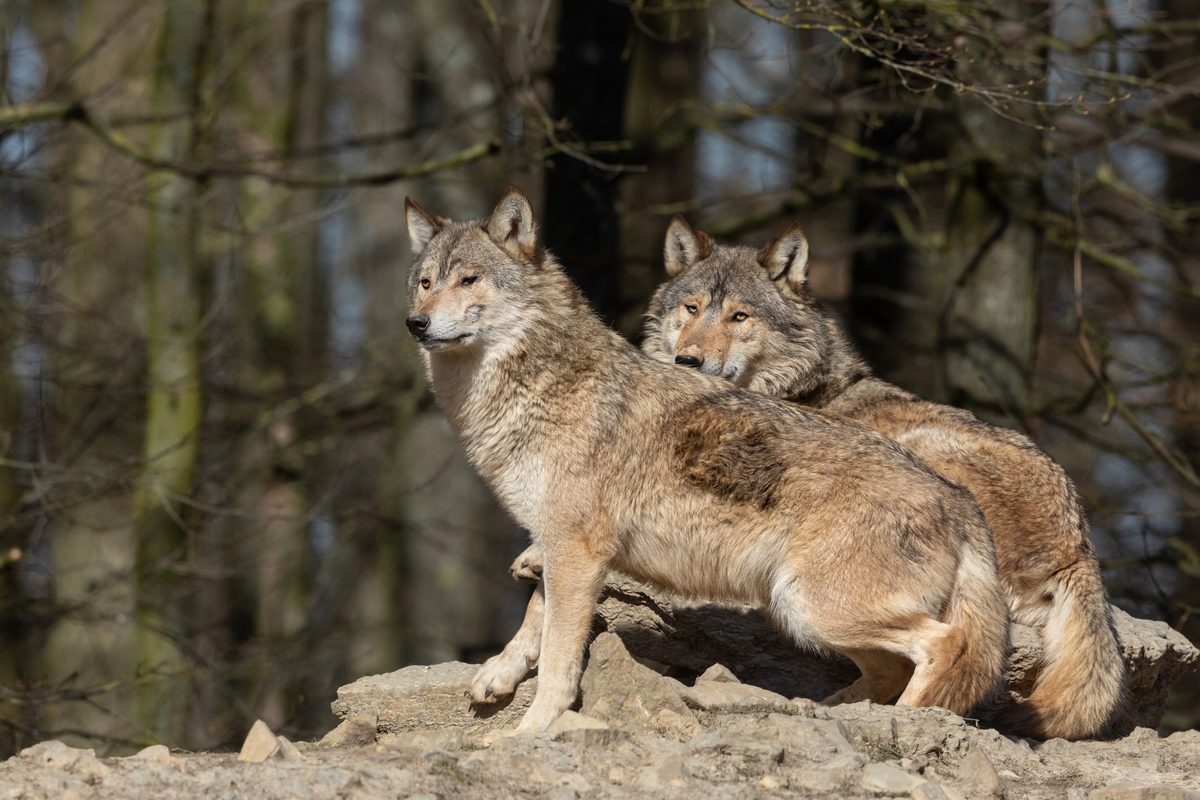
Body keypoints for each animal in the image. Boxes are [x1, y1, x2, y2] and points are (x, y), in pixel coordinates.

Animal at [406, 187, 1009, 733]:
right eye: (425, 282)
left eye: (469, 280)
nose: (416, 323)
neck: (539, 386)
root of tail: (960, 501)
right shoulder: (562, 545)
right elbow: (536, 614)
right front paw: (499, 675)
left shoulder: (577, 549)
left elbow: (558, 657)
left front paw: (530, 733)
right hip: (805, 615)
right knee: (890, 669)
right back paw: (830, 711)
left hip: (812, 606)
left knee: (945, 644)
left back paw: (913, 720)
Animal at [633, 216, 1125, 740]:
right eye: (692, 308)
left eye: (739, 317)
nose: (688, 360)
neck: (799, 385)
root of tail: (1080, 545)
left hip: (920, 448)